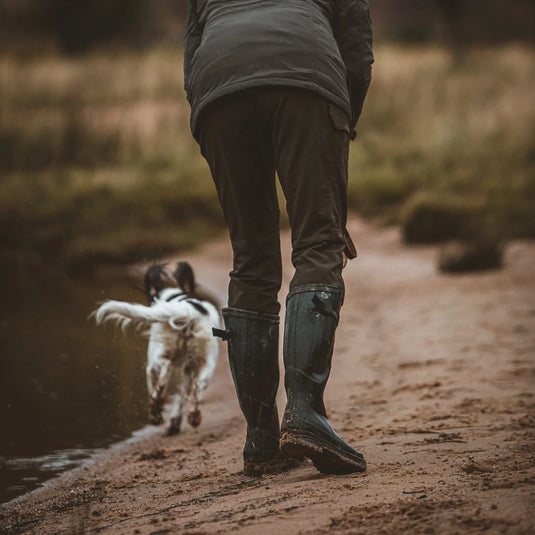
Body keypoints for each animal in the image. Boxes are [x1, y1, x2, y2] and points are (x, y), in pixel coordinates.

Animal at [94, 262, 222, 436]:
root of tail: (187, 310)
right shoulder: (188, 368)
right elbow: (181, 395)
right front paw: (175, 423)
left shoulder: (152, 365)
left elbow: (153, 387)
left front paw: (157, 413)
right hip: (206, 363)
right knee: (197, 387)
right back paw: (194, 417)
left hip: (158, 357)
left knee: (163, 376)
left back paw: (156, 412)